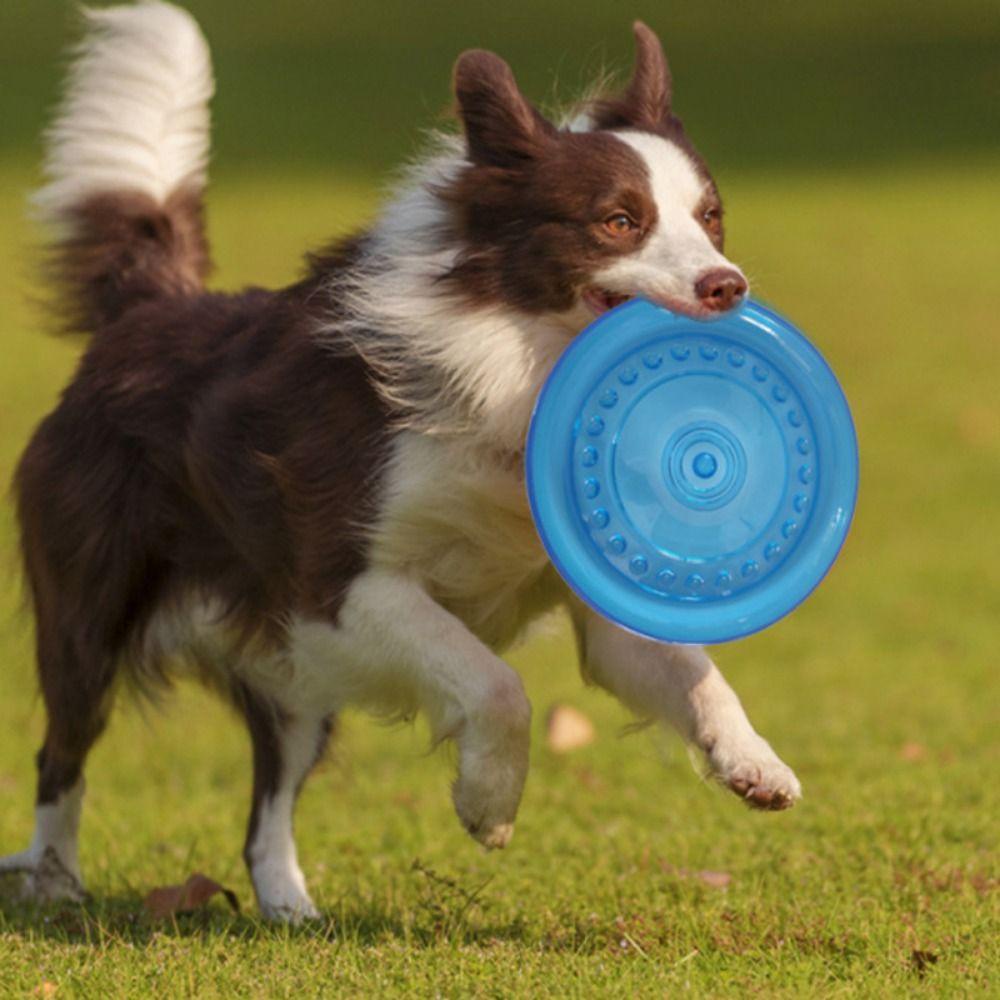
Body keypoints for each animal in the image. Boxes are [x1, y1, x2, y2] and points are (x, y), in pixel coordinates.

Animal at [0, 1, 796, 920]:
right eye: (618, 221)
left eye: (711, 218)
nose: (727, 286)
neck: (519, 373)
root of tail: (145, 313)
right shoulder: (340, 584)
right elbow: (495, 683)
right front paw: (489, 805)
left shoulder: (589, 602)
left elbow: (695, 670)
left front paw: (755, 762)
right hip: (92, 609)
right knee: (61, 752)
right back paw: (54, 883)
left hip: (293, 675)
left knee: (267, 803)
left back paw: (291, 911)